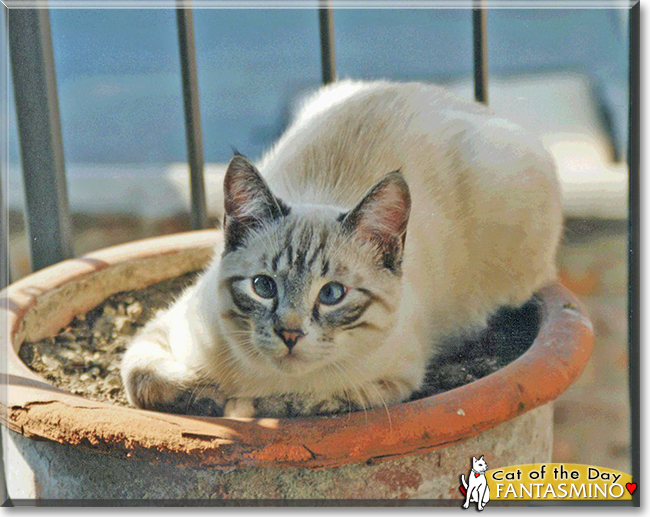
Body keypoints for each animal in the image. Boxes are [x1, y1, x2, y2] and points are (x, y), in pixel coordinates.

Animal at [121, 80, 560, 420]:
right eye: (263, 287)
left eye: (332, 294)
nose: (290, 333)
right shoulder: (162, 330)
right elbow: (146, 377)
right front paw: (210, 396)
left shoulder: (391, 380)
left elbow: (304, 402)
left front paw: (247, 404)